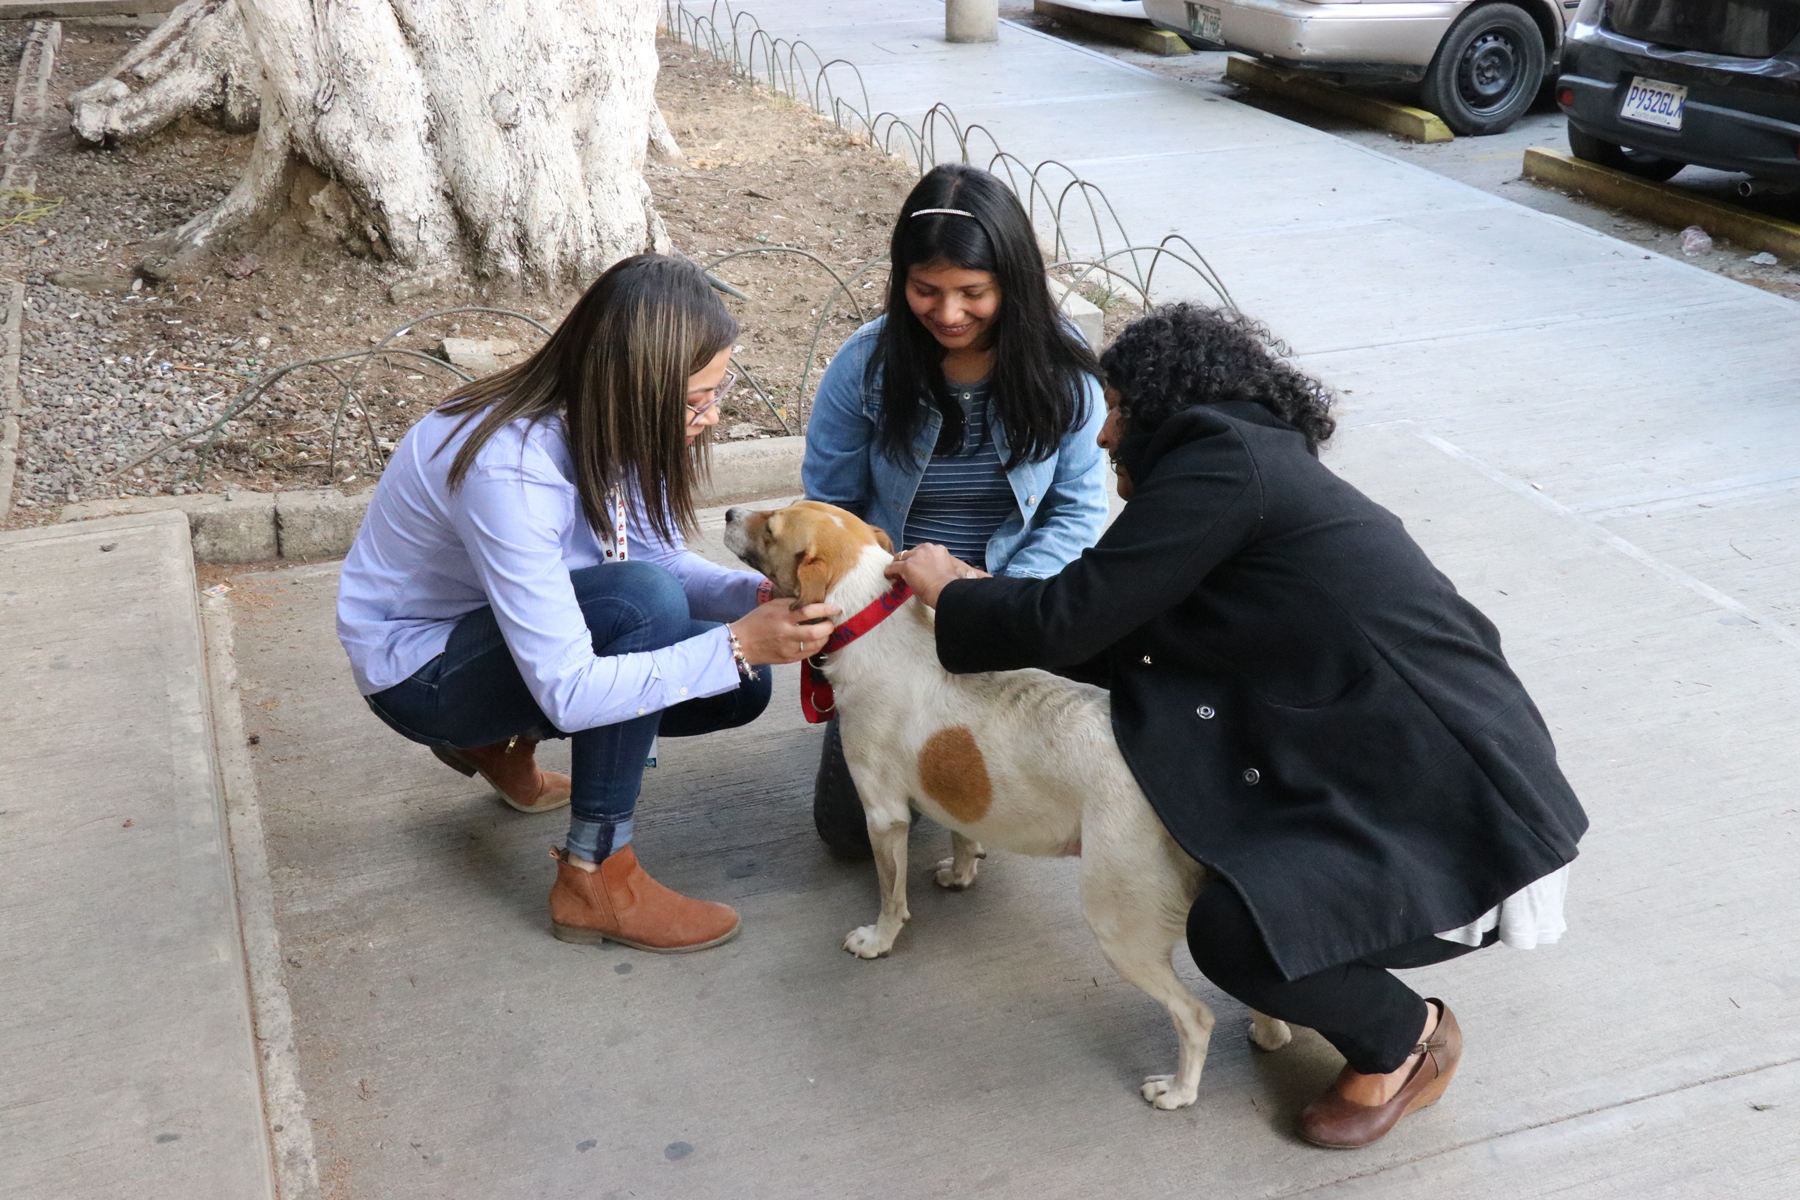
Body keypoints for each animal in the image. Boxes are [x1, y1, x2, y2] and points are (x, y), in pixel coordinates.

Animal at [723, 496, 1288, 1108]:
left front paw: (879, 939)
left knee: (1196, 1017)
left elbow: (890, 895)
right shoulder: (949, 801)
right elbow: (961, 832)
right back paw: (1269, 1033)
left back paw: (1180, 1089)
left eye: (771, 526)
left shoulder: (883, 815)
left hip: (1119, 923)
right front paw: (962, 871)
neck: (872, 615)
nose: (728, 513)